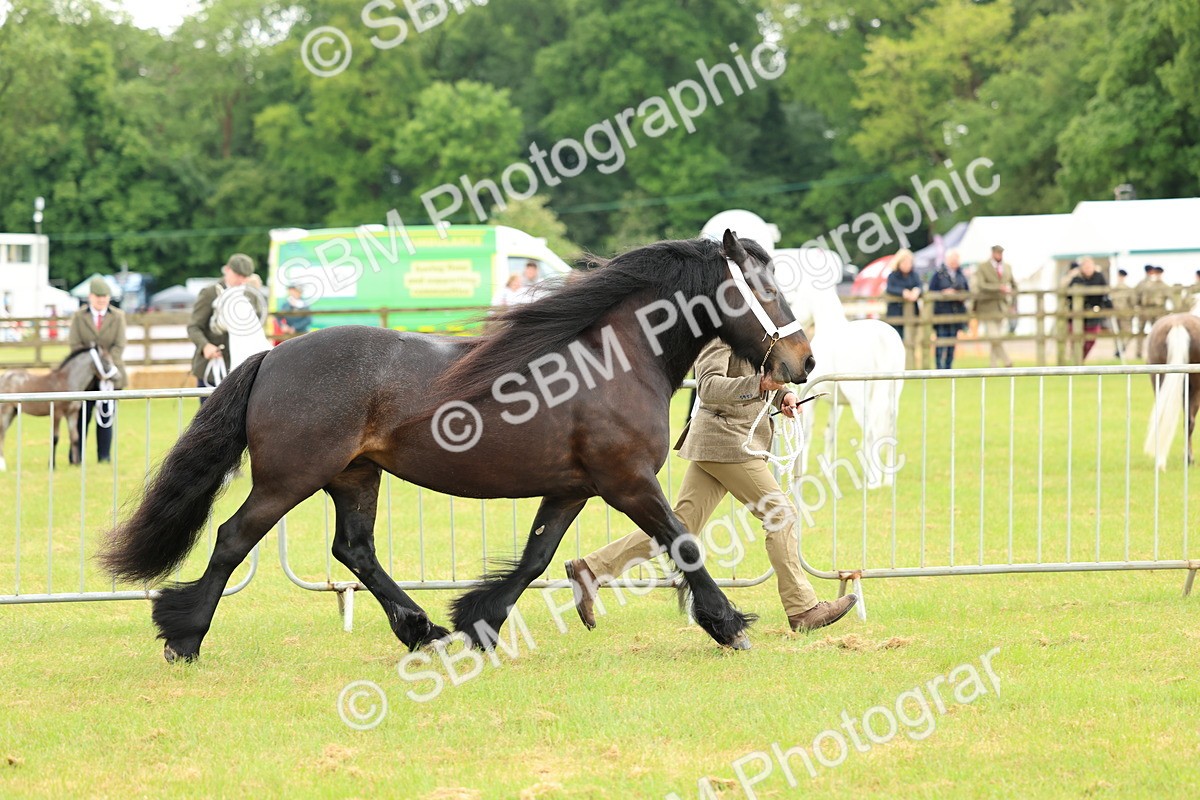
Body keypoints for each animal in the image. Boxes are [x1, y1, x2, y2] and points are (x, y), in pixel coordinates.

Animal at [97, 230, 816, 662]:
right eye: (765, 288)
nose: (803, 362)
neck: (614, 360)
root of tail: (273, 356)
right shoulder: (628, 482)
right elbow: (683, 542)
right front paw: (728, 624)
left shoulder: (572, 489)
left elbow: (536, 558)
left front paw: (478, 618)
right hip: (288, 480)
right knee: (233, 539)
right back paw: (183, 636)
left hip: (355, 476)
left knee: (353, 550)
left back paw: (420, 629)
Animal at [779, 255, 906, 488]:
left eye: (792, 301)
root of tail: (883, 340)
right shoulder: (835, 403)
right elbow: (831, 432)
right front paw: (827, 470)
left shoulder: (813, 397)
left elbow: (809, 430)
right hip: (893, 393)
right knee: (889, 427)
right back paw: (888, 479)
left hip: (860, 399)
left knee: (871, 430)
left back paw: (873, 479)